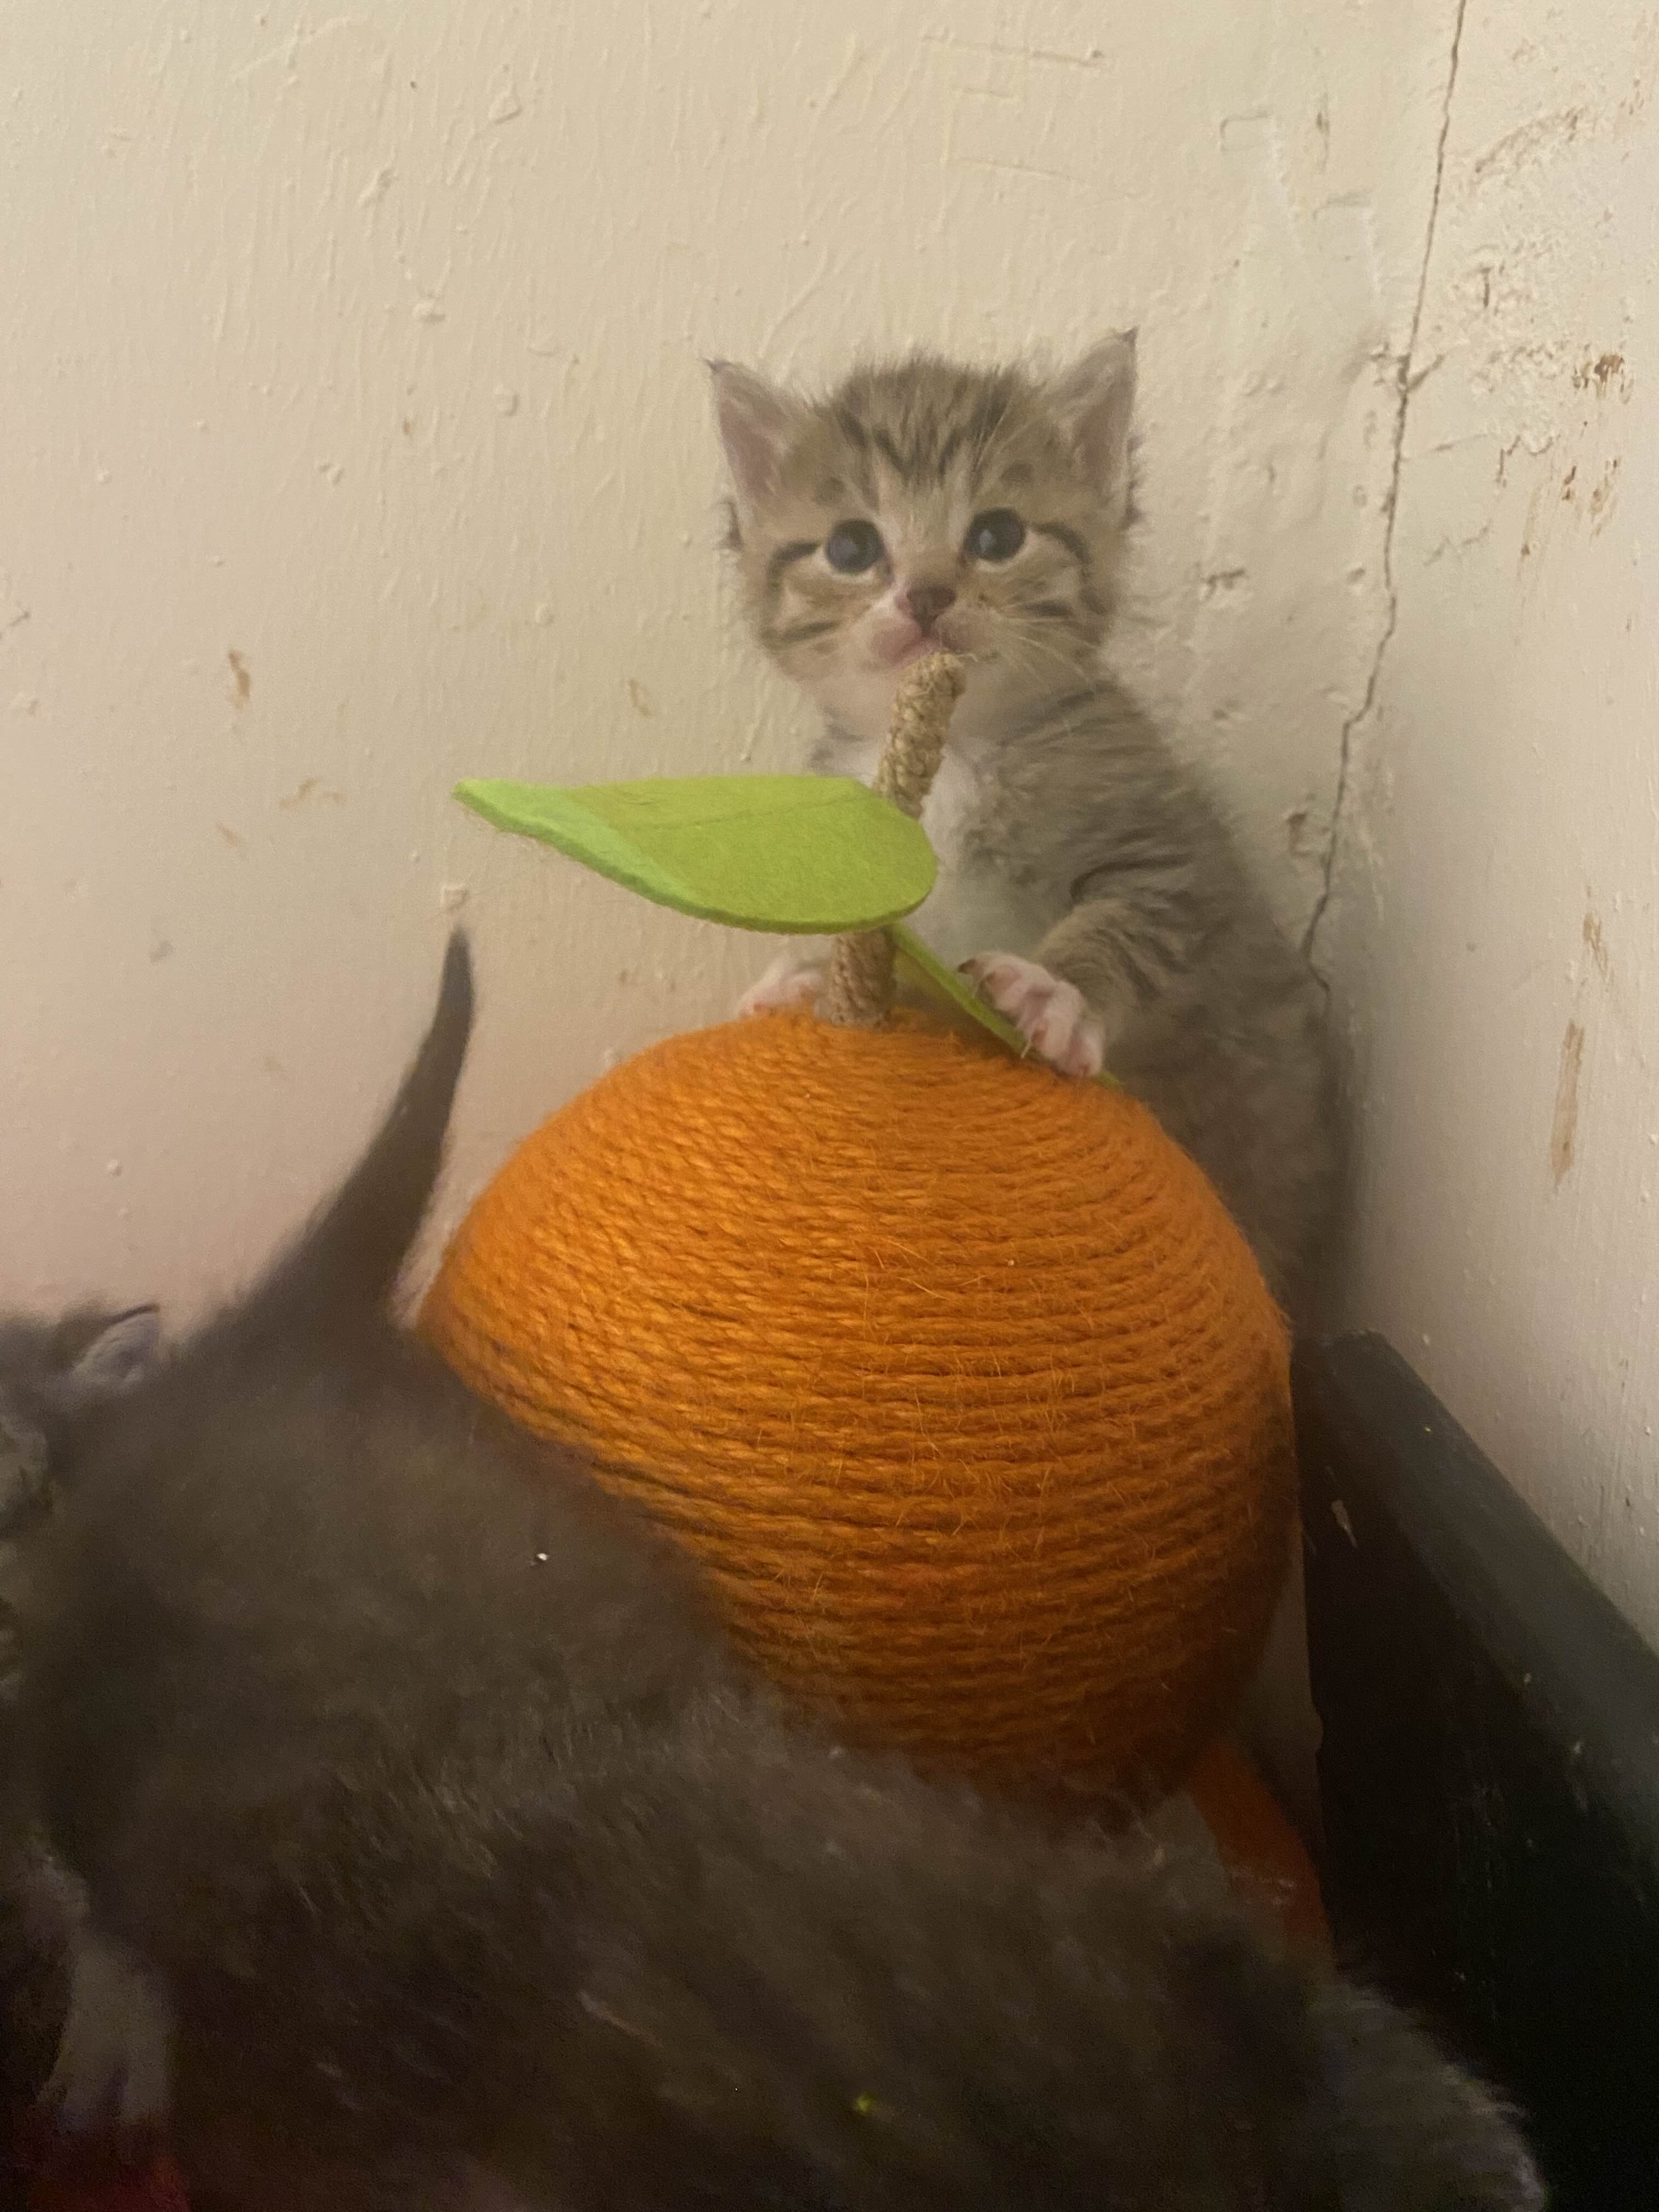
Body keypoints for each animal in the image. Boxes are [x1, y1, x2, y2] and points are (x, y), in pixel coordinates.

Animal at [711, 339, 1336, 1321]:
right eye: (852, 547)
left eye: (997, 536)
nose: (927, 594)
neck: (956, 750)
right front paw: (805, 979)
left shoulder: (1169, 856)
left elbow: (1128, 924)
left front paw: (1054, 990)